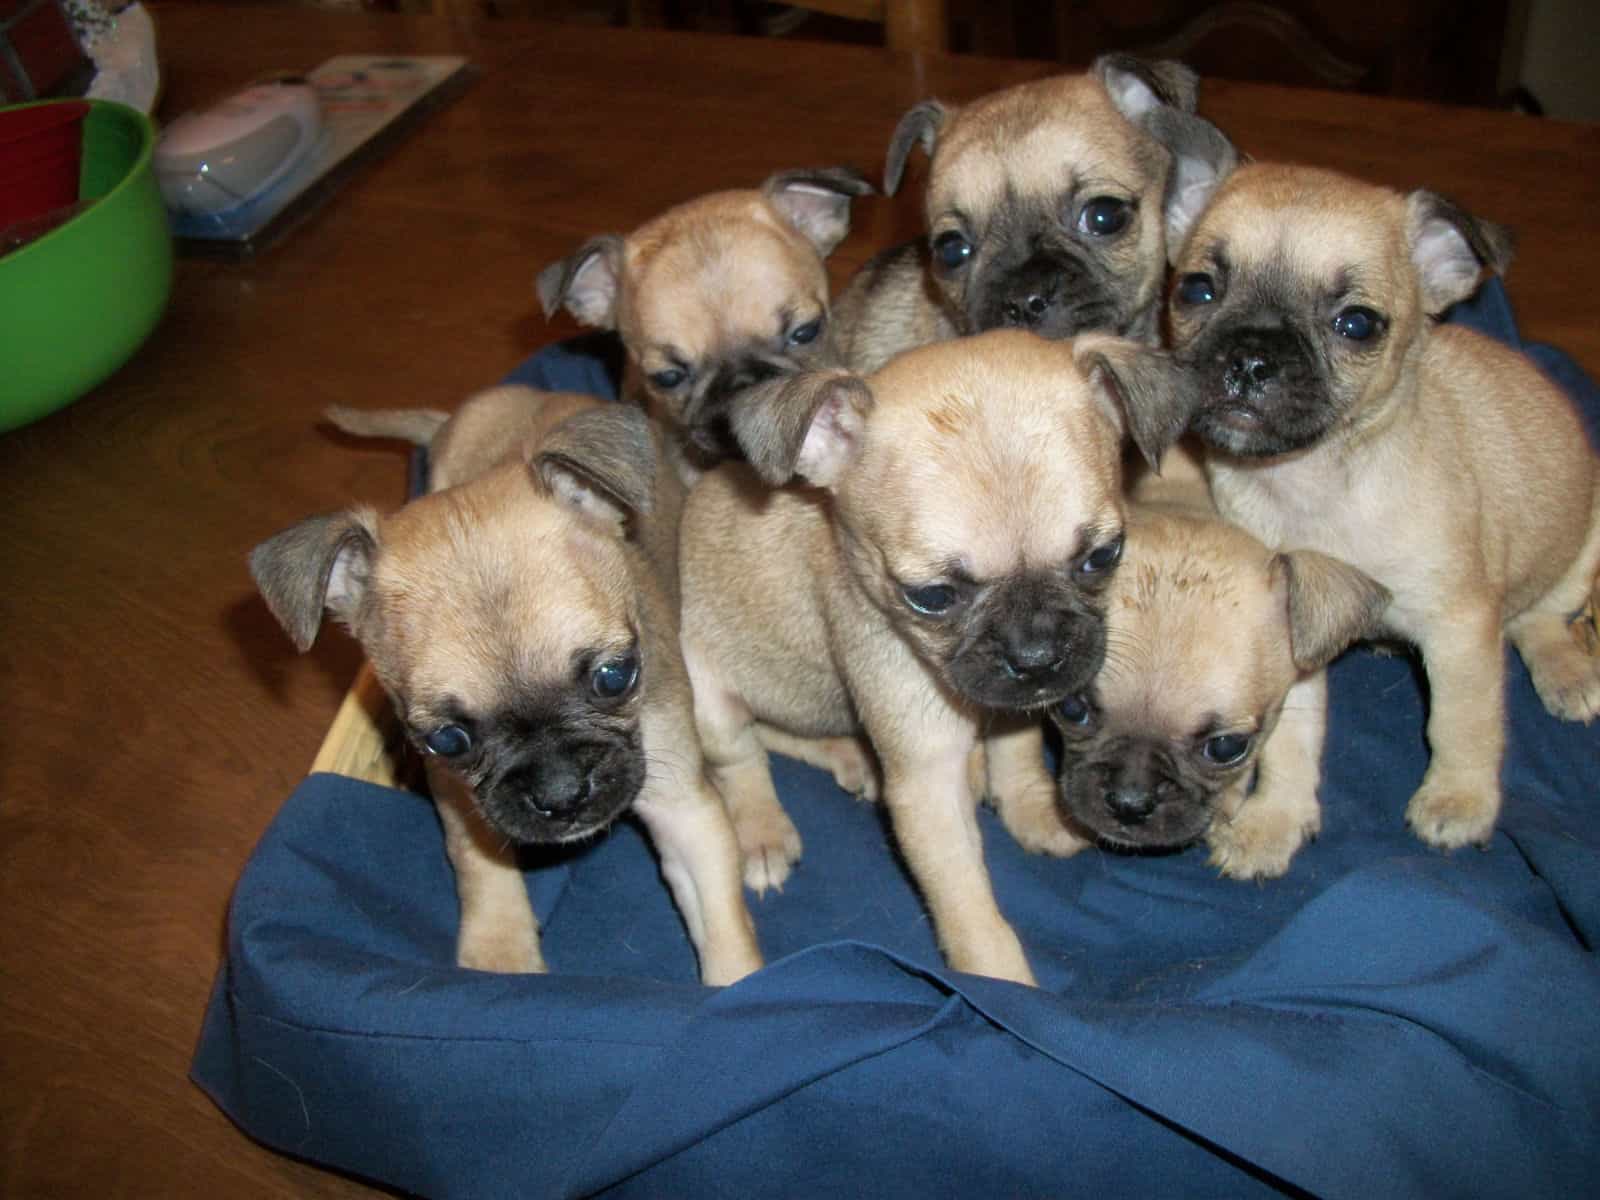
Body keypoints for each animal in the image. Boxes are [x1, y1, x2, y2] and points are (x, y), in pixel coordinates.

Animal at [249, 385, 761, 985]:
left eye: (615, 677)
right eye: (448, 740)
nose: (562, 793)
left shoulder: (683, 806)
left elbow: (723, 921)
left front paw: (740, 990)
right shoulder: (460, 796)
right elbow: (482, 866)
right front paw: (500, 955)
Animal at [681, 329, 1196, 985]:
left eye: (1102, 557)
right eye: (931, 597)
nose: (1037, 653)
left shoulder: (1014, 702)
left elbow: (1016, 745)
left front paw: (1028, 804)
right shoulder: (927, 782)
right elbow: (967, 907)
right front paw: (1004, 984)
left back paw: (850, 754)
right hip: (708, 700)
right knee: (742, 757)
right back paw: (762, 829)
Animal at [1152, 120, 1600, 857]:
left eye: (1357, 324)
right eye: (1196, 289)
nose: (1252, 357)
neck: (1311, 479)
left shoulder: (1458, 630)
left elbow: (1462, 723)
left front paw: (1458, 799)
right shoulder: (1290, 636)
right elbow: (1292, 738)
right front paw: (1274, 820)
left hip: (1581, 544)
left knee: (1543, 617)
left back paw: (1569, 671)